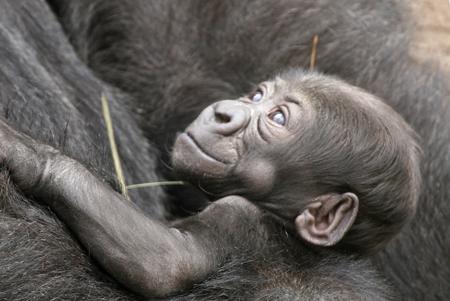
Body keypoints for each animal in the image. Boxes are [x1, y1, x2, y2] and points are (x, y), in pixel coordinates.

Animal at [0, 69, 422, 296]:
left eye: (278, 119)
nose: (223, 112)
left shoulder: (239, 219)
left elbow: (164, 262)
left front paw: (31, 157)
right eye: (256, 95)